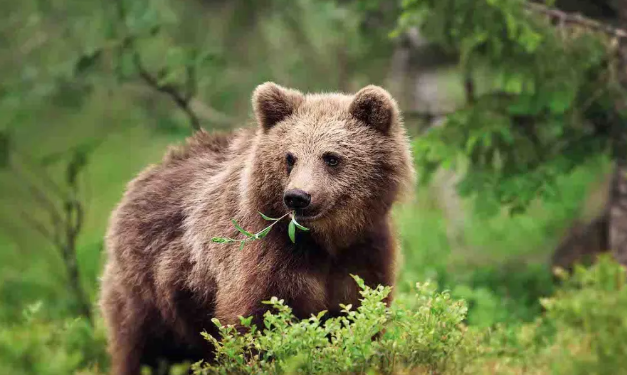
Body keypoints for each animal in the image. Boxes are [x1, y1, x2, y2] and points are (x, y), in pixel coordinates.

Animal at [99, 83, 418, 374]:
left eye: (331, 157)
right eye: (289, 157)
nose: (298, 197)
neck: (326, 240)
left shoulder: (364, 252)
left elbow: (359, 314)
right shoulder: (268, 255)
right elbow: (257, 321)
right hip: (149, 287)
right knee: (142, 347)